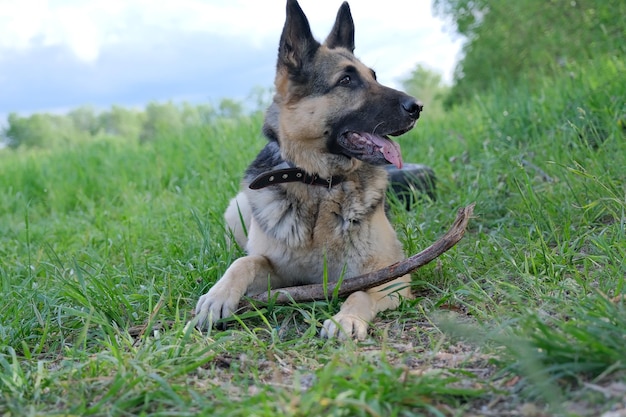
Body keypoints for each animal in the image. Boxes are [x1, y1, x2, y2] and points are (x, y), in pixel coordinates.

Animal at [193, 0, 422, 338]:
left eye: (374, 76)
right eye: (346, 80)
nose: (417, 107)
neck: (319, 184)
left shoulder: (391, 276)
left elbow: (359, 292)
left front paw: (346, 319)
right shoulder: (277, 272)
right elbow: (245, 262)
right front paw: (217, 295)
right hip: (237, 207)